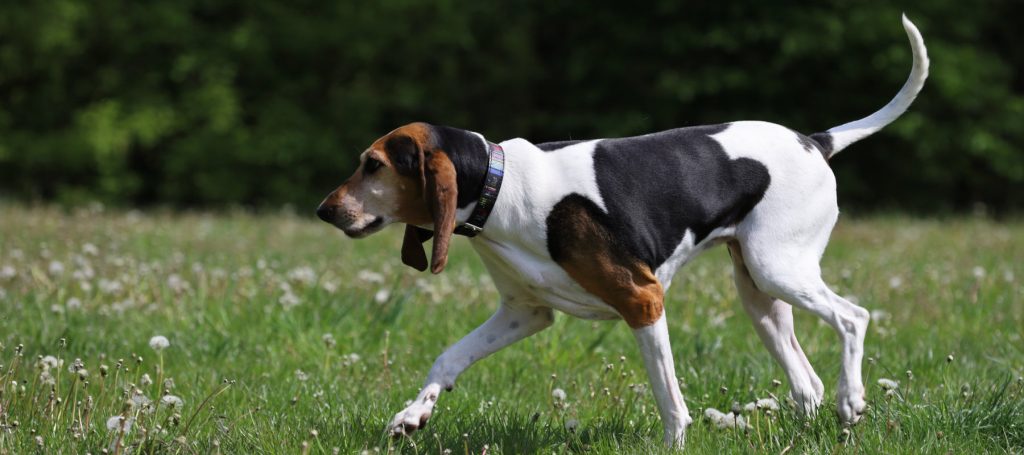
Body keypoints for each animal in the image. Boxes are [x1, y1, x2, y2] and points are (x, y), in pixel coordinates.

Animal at [317, 15, 929, 448]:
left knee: (853, 319)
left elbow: (670, 402)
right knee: (806, 384)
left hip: (778, 269)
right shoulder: (524, 313)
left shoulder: (643, 299)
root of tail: (814, 140)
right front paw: (412, 414)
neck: (501, 183)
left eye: (373, 165)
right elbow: (448, 359)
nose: (325, 211)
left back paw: (852, 399)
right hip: (760, 294)